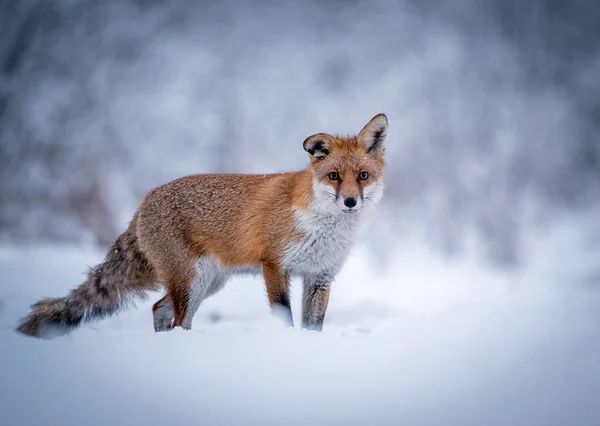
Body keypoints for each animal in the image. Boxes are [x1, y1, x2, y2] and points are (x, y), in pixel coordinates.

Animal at [16, 114, 390, 340]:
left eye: (362, 176)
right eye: (333, 176)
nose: (350, 202)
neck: (322, 228)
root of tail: (143, 201)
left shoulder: (320, 276)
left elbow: (314, 326)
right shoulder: (274, 265)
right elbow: (283, 315)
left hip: (207, 283)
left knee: (160, 308)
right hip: (192, 281)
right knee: (177, 318)